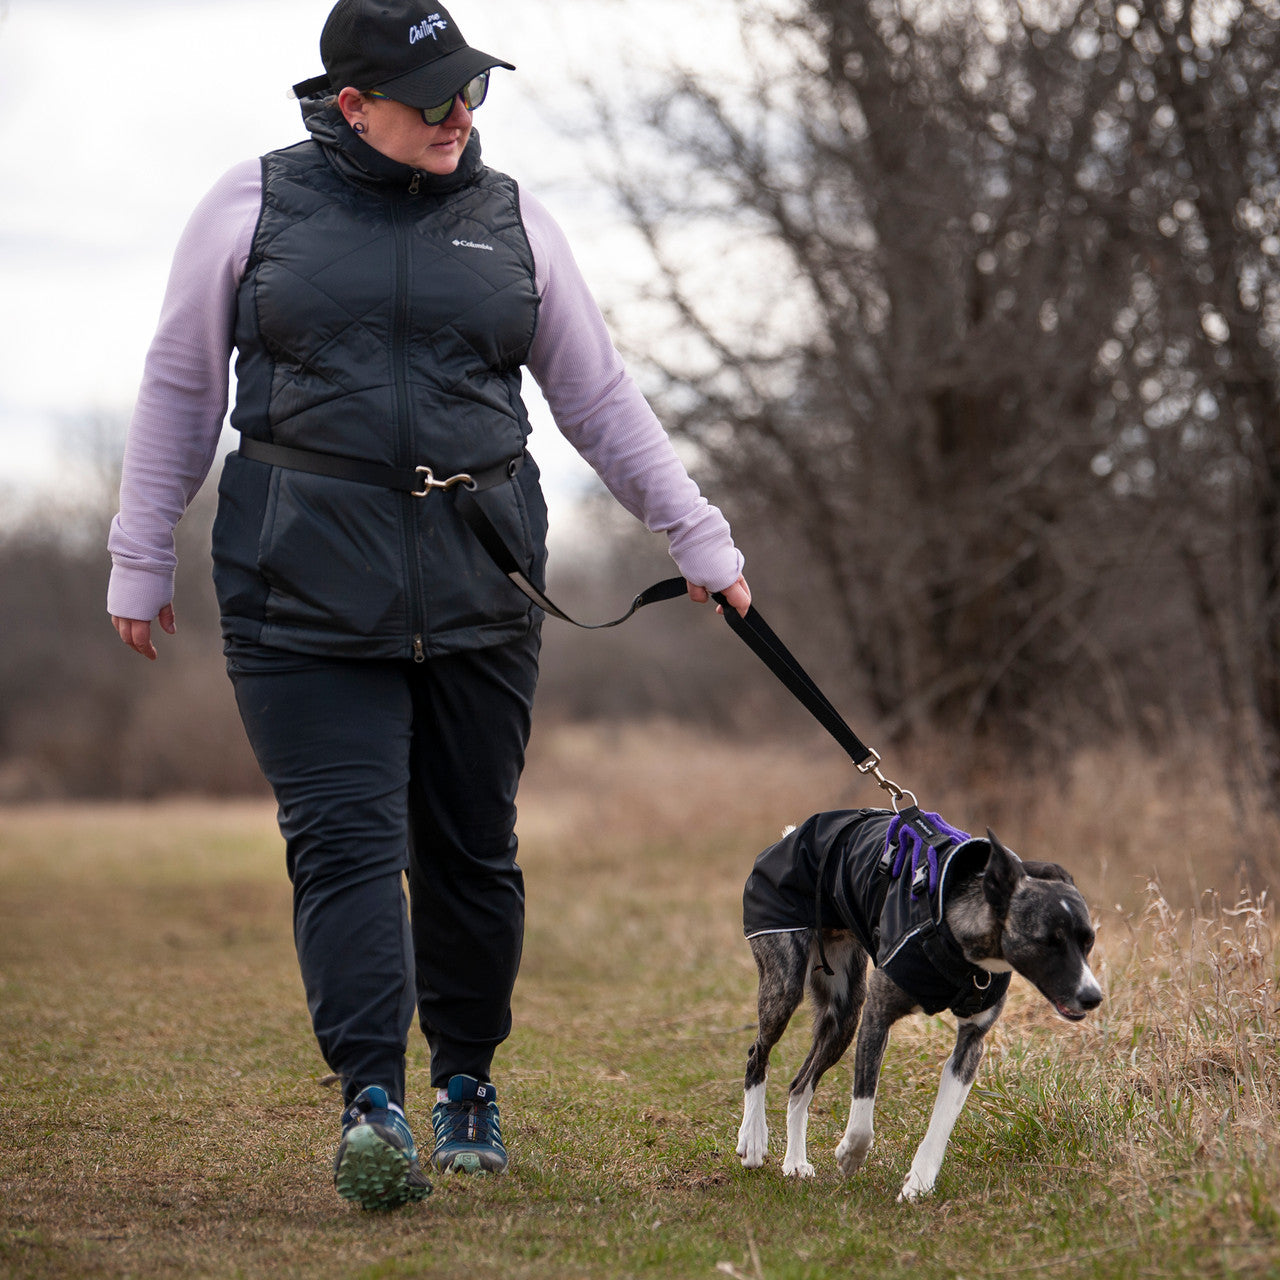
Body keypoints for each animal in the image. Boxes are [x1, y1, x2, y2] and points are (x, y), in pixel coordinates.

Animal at [737, 808, 1105, 1198]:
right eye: (1048, 941)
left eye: (1088, 941)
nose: (1092, 996)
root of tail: (790, 837)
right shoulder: (877, 1016)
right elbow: (863, 1111)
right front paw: (851, 1154)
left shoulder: (970, 1045)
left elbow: (942, 1121)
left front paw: (920, 1181)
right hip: (786, 985)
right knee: (757, 1053)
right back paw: (754, 1139)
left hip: (844, 1015)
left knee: (799, 1085)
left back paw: (794, 1161)